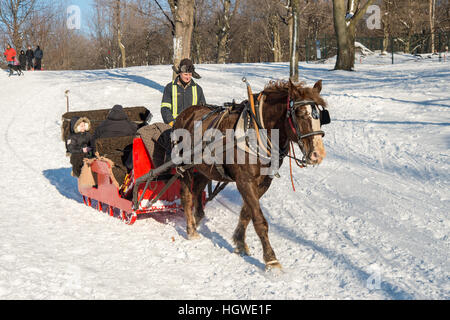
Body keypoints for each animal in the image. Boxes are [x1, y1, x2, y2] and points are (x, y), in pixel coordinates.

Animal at [172, 79, 326, 268]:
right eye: (300, 113)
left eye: (320, 116)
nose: (318, 154)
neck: (258, 131)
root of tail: (184, 114)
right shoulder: (244, 181)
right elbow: (259, 220)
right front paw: (271, 259)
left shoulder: (263, 182)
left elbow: (247, 213)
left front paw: (239, 242)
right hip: (183, 166)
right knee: (186, 195)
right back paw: (191, 229)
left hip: (204, 168)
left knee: (197, 189)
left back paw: (198, 217)